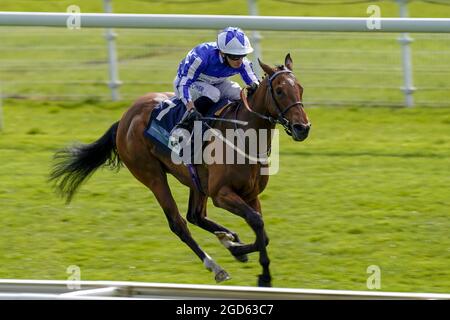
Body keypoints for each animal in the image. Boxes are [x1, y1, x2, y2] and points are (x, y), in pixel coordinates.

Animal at [48, 53, 310, 286]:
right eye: (279, 91)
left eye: (300, 88)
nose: (302, 128)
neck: (244, 136)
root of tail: (124, 119)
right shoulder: (221, 194)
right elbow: (256, 222)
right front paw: (260, 272)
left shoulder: (250, 194)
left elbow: (261, 230)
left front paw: (246, 256)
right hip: (152, 176)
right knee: (179, 223)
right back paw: (216, 266)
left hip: (196, 181)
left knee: (196, 215)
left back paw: (227, 238)